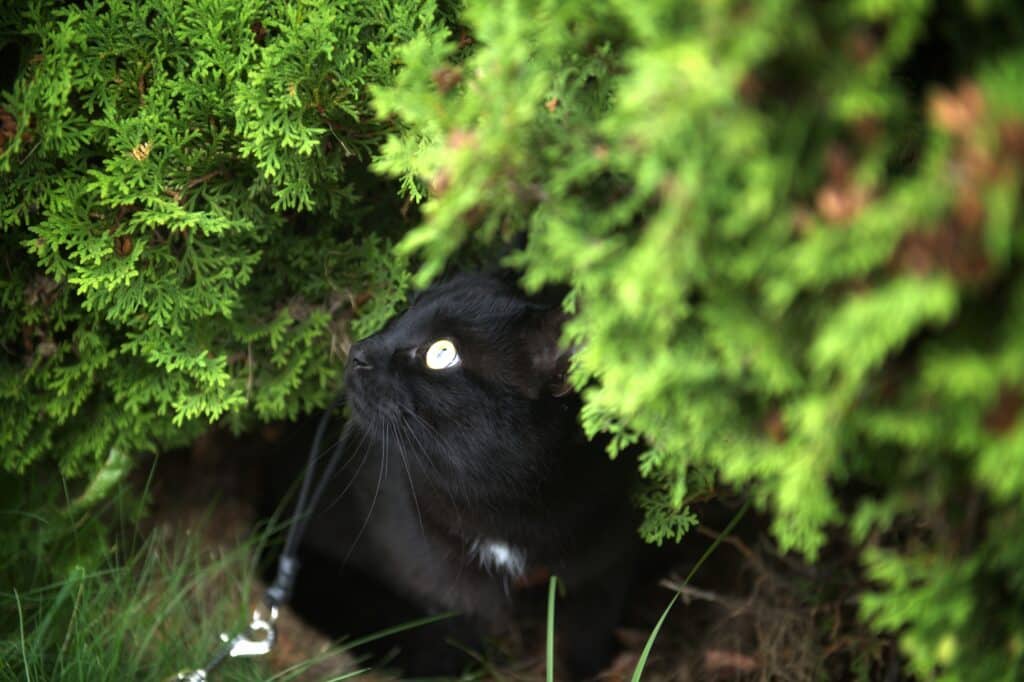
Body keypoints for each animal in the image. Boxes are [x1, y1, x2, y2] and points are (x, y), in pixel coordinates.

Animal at [292, 274, 634, 675]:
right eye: (408, 307)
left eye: (441, 353)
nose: (358, 351)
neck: (504, 506)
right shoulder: (435, 584)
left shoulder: (603, 564)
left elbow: (587, 638)